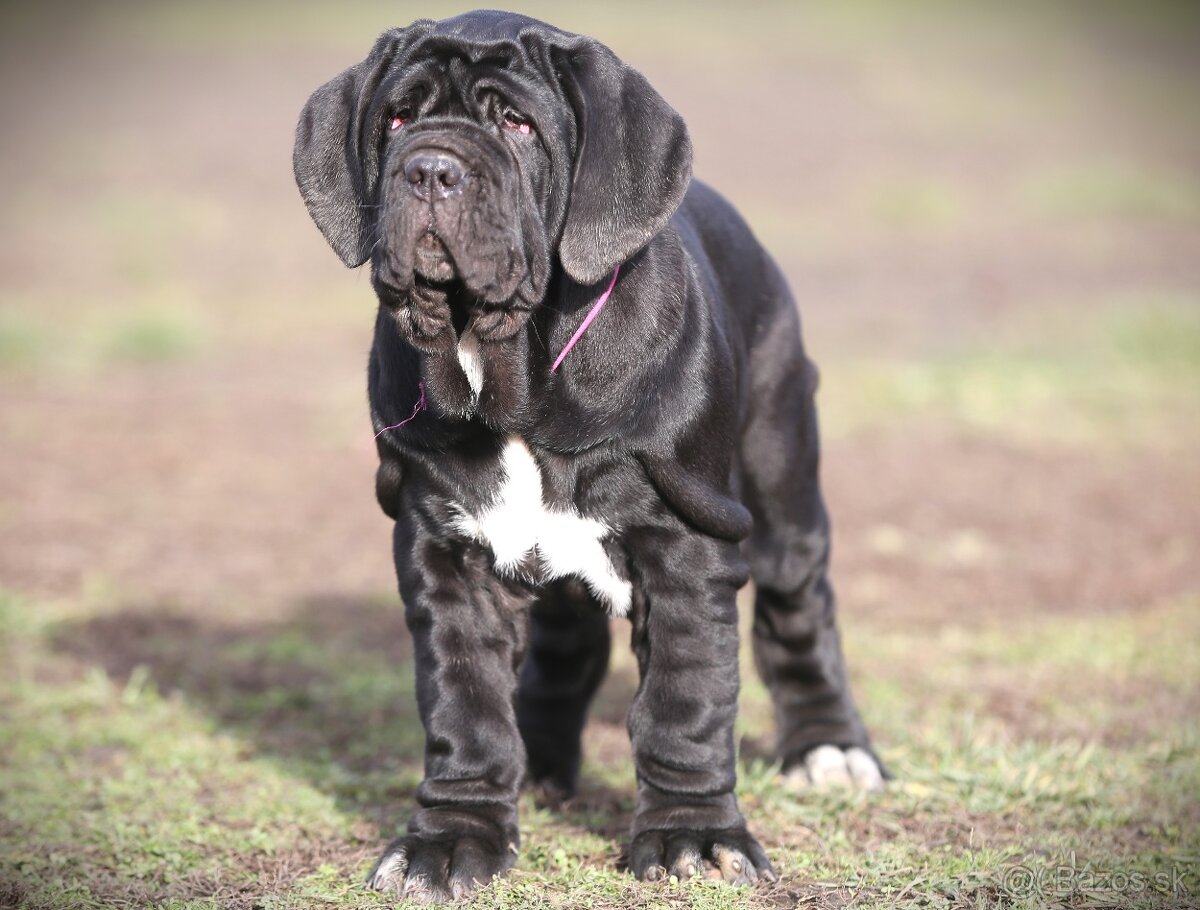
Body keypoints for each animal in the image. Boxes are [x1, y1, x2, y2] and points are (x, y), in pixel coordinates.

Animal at [294, 8, 883, 907]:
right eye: (396, 118)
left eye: (516, 123)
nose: (429, 168)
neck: (515, 376)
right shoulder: (444, 552)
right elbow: (464, 705)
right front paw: (452, 839)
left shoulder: (687, 547)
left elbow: (686, 700)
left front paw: (693, 838)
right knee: (563, 650)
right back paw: (539, 765)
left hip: (782, 480)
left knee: (798, 603)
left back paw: (830, 747)